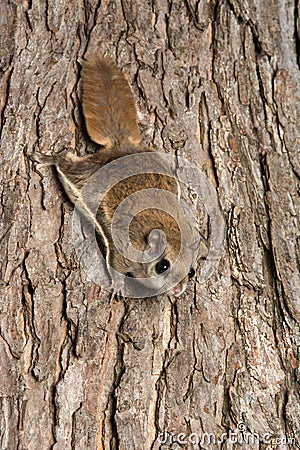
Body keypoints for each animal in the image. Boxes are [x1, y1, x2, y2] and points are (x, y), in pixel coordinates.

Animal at [31, 55, 209, 296]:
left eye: (191, 271)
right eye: (163, 266)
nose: (178, 289)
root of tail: (120, 147)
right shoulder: (122, 251)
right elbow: (115, 266)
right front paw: (117, 285)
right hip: (84, 175)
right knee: (65, 162)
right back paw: (47, 158)